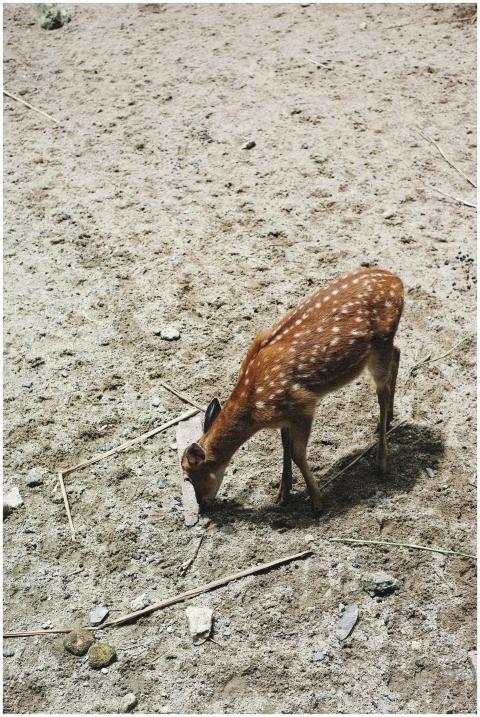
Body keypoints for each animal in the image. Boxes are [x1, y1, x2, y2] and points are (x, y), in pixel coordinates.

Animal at [181, 268, 404, 515]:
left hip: (381, 344)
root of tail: (397, 281)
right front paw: (283, 494)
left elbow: (297, 454)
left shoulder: (303, 405)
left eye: (190, 477)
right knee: (397, 353)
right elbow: (285, 446)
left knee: (382, 391)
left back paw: (382, 461)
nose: (202, 505)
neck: (254, 405)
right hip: (383, 347)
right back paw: (387, 421)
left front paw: (317, 502)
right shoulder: (285, 415)